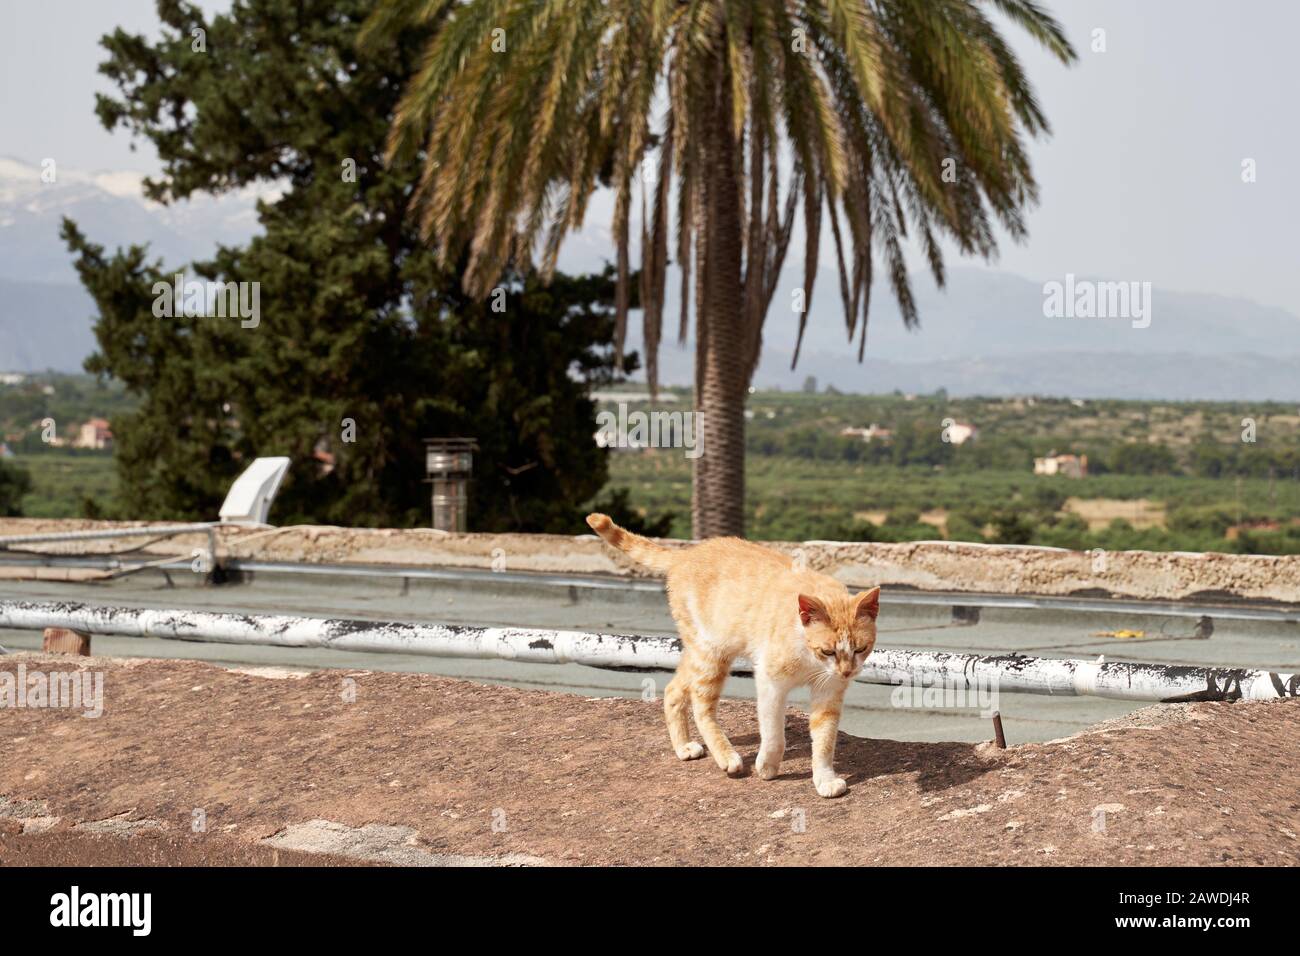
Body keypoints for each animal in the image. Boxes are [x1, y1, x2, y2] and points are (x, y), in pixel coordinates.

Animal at [590, 512, 883, 796]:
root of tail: (686, 554)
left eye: (860, 648)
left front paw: (824, 780)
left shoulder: (828, 691)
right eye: (828, 650)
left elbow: (824, 740)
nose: (847, 672)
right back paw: (726, 756)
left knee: (673, 690)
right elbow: (773, 732)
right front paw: (767, 766)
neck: (809, 657)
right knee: (701, 706)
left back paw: (683, 746)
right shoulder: (770, 682)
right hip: (712, 655)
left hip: (699, 651)